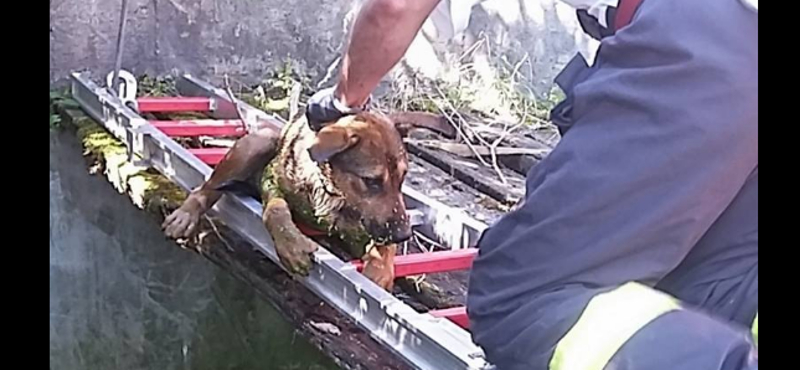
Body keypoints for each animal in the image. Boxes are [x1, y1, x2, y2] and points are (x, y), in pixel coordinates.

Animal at [160, 108, 454, 290]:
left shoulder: (364, 228)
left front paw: (380, 267)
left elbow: (381, 245)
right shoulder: (272, 181)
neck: (333, 193)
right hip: (259, 141)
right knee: (208, 186)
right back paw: (186, 214)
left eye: (402, 179)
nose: (405, 235)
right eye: (371, 181)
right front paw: (292, 246)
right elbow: (276, 210)